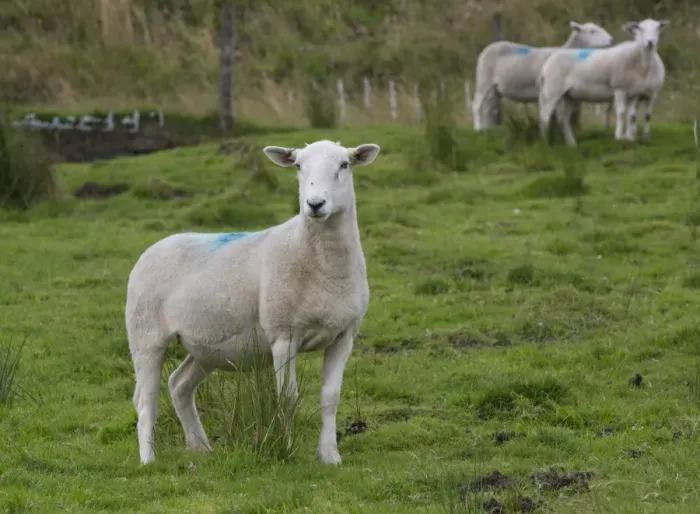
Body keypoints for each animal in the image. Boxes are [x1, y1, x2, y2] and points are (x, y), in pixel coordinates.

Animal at [125, 139, 380, 466]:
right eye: (298, 166)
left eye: (344, 165)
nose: (315, 204)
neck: (322, 265)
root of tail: (155, 246)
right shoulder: (283, 335)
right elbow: (287, 398)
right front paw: (285, 449)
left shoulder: (343, 336)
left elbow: (330, 397)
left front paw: (330, 456)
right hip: (145, 334)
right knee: (146, 401)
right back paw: (148, 459)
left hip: (207, 347)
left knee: (179, 384)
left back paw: (200, 447)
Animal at [472, 21, 614, 131]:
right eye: (592, 31)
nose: (611, 40)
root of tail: (489, 47)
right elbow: (554, 114)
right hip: (483, 79)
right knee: (477, 105)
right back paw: (478, 129)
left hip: (495, 89)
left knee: (488, 108)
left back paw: (489, 129)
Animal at [538, 19, 669, 147]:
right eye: (640, 28)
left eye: (658, 28)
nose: (650, 42)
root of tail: (547, 63)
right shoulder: (619, 88)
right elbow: (621, 113)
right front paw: (619, 137)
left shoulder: (634, 94)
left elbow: (632, 116)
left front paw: (631, 138)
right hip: (552, 91)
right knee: (545, 117)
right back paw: (545, 144)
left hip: (569, 95)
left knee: (563, 119)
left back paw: (571, 144)